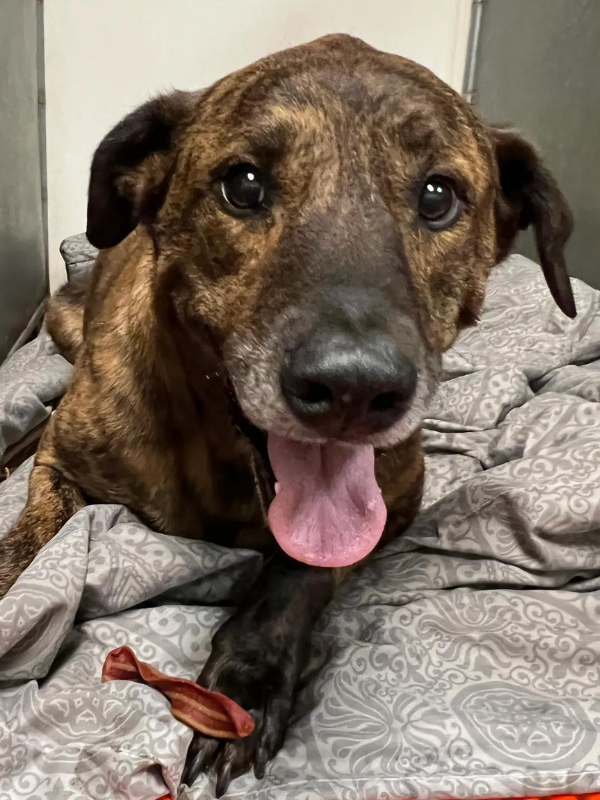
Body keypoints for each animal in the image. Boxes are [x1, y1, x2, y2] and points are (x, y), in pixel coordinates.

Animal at [0, 36, 576, 792]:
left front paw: (248, 679)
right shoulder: (64, 464)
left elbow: (300, 571)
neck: (220, 451)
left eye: (437, 194)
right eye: (243, 184)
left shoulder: (394, 497)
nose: (354, 389)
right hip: (67, 324)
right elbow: (30, 552)